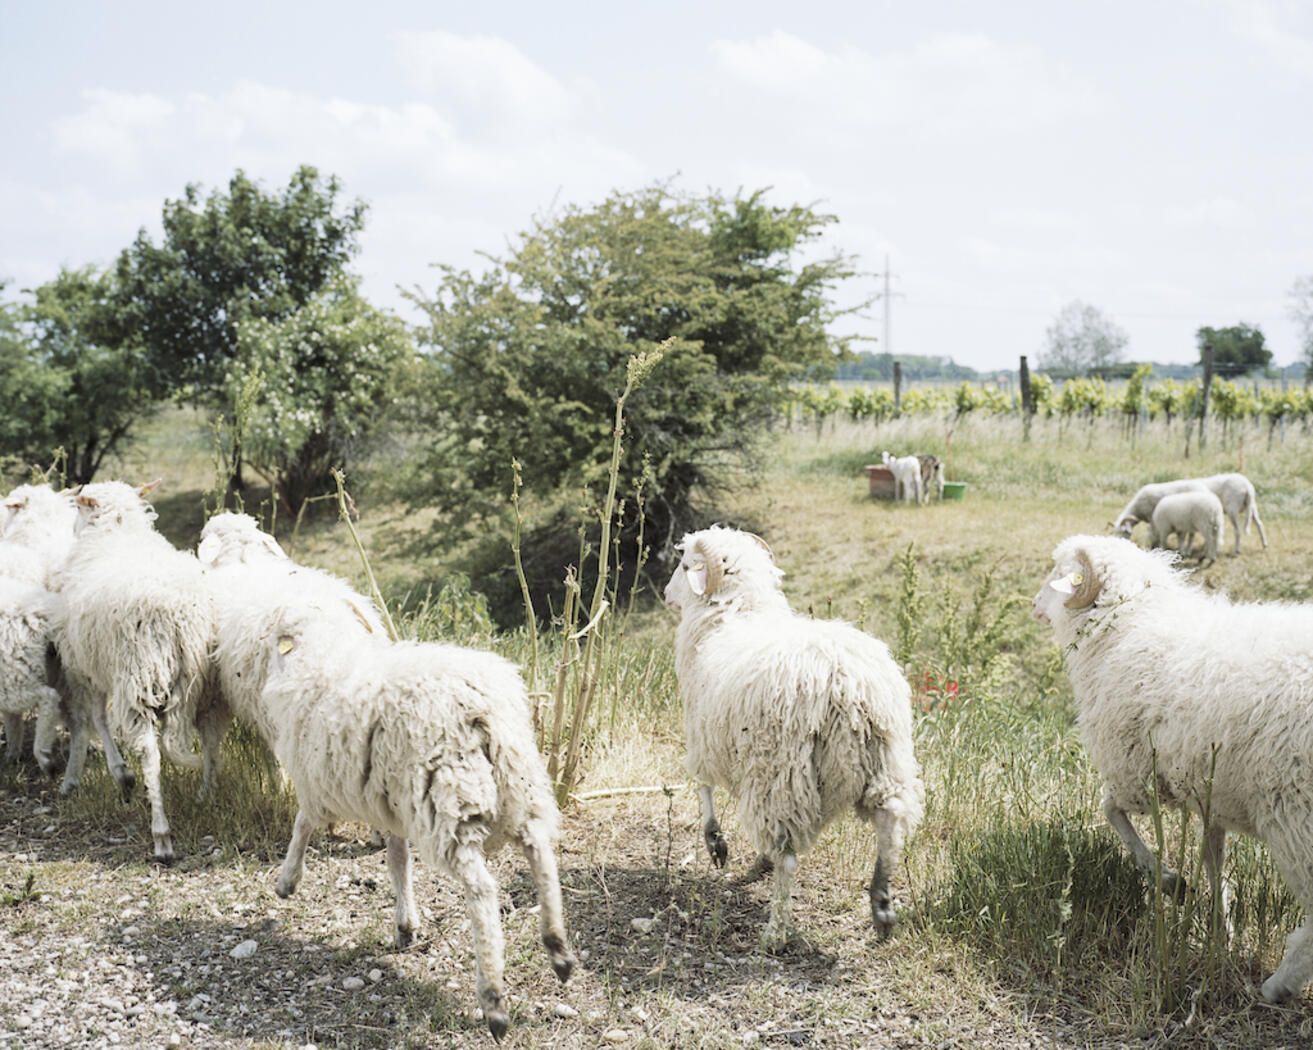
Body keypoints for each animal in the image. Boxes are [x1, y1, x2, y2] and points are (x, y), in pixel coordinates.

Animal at [51, 483, 217, 861]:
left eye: (79, 508)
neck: (117, 531)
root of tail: (177, 613)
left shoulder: (88, 666)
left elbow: (98, 718)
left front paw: (121, 775)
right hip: (196, 683)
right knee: (207, 739)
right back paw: (206, 793)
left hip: (138, 676)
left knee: (151, 754)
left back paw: (162, 836)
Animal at [261, 595, 575, 1039]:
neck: (324, 650)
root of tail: (479, 705)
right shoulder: (390, 804)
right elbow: (398, 862)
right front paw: (405, 924)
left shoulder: (318, 786)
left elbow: (302, 823)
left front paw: (287, 880)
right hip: (518, 782)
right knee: (541, 852)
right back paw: (557, 949)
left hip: (448, 799)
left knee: (482, 889)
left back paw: (493, 998)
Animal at [667, 530, 924, 945]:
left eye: (685, 564)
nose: (666, 594)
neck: (736, 613)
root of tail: (847, 684)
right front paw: (750, 857)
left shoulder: (703, 734)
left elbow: (703, 785)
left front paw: (716, 842)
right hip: (886, 758)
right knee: (891, 821)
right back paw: (882, 905)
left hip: (780, 771)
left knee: (787, 852)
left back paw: (775, 930)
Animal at [1029, 538, 1313, 1002]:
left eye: (1060, 571)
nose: (1034, 604)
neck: (1129, 626)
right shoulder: (1210, 793)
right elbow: (1214, 859)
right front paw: (1221, 929)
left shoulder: (1136, 773)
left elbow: (1110, 811)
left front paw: (1169, 881)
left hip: (1296, 818)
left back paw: (1278, 986)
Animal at [1113, 475, 1265, 556]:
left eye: (1123, 532)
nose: (1119, 546)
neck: (1138, 507)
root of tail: (1247, 486)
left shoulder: (1154, 517)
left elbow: (1155, 532)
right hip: (1251, 508)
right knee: (1259, 524)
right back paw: (1264, 544)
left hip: (1231, 508)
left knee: (1236, 531)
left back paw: (1235, 550)